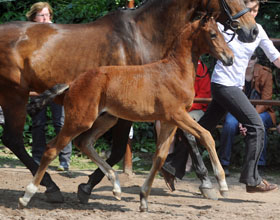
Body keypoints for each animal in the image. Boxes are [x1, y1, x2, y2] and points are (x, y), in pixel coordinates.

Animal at [19, 16, 233, 211]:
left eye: (221, 33)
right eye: (213, 34)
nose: (230, 58)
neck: (175, 71)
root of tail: (73, 82)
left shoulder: (169, 121)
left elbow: (160, 157)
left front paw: (143, 199)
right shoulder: (177, 115)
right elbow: (206, 135)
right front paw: (222, 185)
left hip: (107, 119)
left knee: (84, 142)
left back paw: (116, 186)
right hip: (79, 120)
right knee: (51, 149)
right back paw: (27, 196)